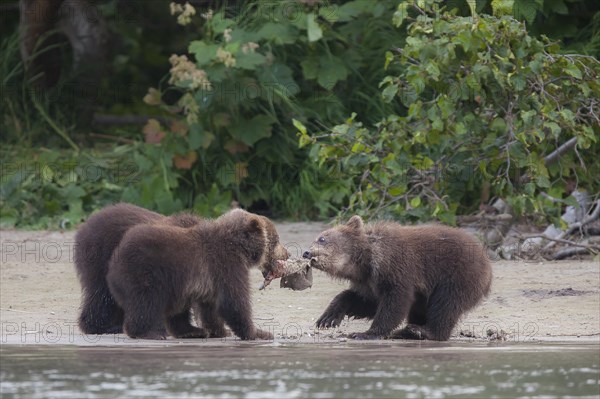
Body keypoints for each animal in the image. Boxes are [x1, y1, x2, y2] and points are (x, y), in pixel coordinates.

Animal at [108, 209, 290, 340]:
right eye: (277, 240)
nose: (287, 253)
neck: (239, 247)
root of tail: (113, 263)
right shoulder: (226, 264)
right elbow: (233, 301)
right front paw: (259, 333)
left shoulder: (211, 277)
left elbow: (210, 306)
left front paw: (220, 330)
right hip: (147, 273)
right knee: (145, 302)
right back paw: (148, 333)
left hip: (175, 284)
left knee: (177, 310)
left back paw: (192, 331)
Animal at [302, 217, 490, 342]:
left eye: (322, 238)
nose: (306, 252)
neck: (365, 261)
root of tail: (486, 260)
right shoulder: (368, 281)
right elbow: (367, 302)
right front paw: (328, 318)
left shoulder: (396, 267)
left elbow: (395, 301)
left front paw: (365, 333)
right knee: (422, 307)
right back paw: (408, 331)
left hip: (458, 275)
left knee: (446, 304)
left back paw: (424, 331)